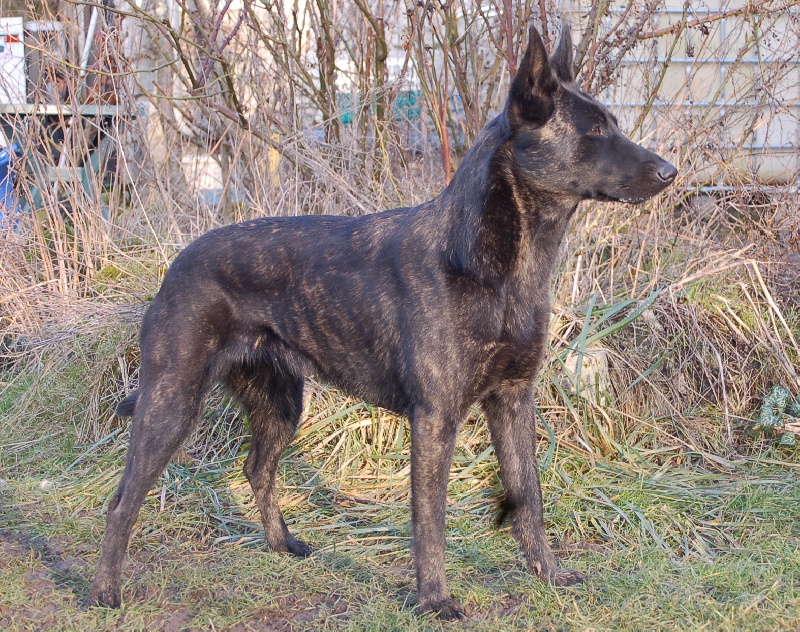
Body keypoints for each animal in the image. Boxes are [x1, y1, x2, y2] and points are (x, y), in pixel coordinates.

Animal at [89, 23, 676, 619]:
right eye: (596, 129)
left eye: (613, 122)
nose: (670, 172)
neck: (495, 266)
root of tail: (176, 266)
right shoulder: (435, 419)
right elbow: (430, 520)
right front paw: (435, 599)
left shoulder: (513, 400)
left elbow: (529, 498)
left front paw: (549, 575)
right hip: (172, 402)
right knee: (122, 501)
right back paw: (105, 592)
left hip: (280, 403)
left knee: (257, 468)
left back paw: (281, 544)